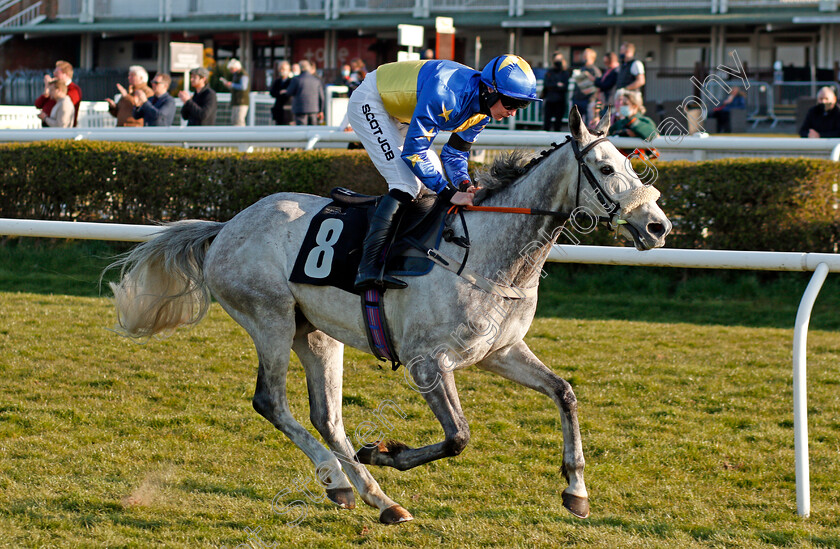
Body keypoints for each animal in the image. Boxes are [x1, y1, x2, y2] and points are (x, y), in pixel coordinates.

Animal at [108, 107, 668, 524]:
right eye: (607, 169)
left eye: (630, 162)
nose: (657, 226)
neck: (490, 254)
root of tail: (226, 226)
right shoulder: (428, 363)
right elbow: (458, 436)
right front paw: (384, 451)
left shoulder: (500, 350)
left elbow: (564, 392)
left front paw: (576, 489)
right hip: (270, 319)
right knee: (271, 401)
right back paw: (344, 478)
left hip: (316, 334)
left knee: (327, 416)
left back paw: (372, 496)